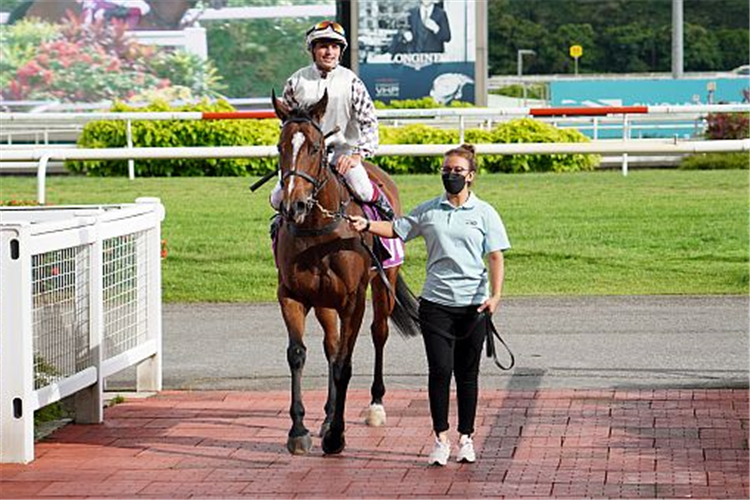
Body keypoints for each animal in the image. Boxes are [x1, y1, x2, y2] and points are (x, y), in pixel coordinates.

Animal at [274, 91, 424, 458]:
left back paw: (375, 406)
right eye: (280, 146)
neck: (317, 231)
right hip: (324, 302)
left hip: (383, 283)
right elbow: (299, 354)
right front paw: (299, 430)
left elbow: (345, 363)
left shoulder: (352, 300)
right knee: (331, 344)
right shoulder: (292, 295)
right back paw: (328, 415)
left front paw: (336, 437)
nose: (294, 205)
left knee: (379, 332)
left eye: (315, 147)